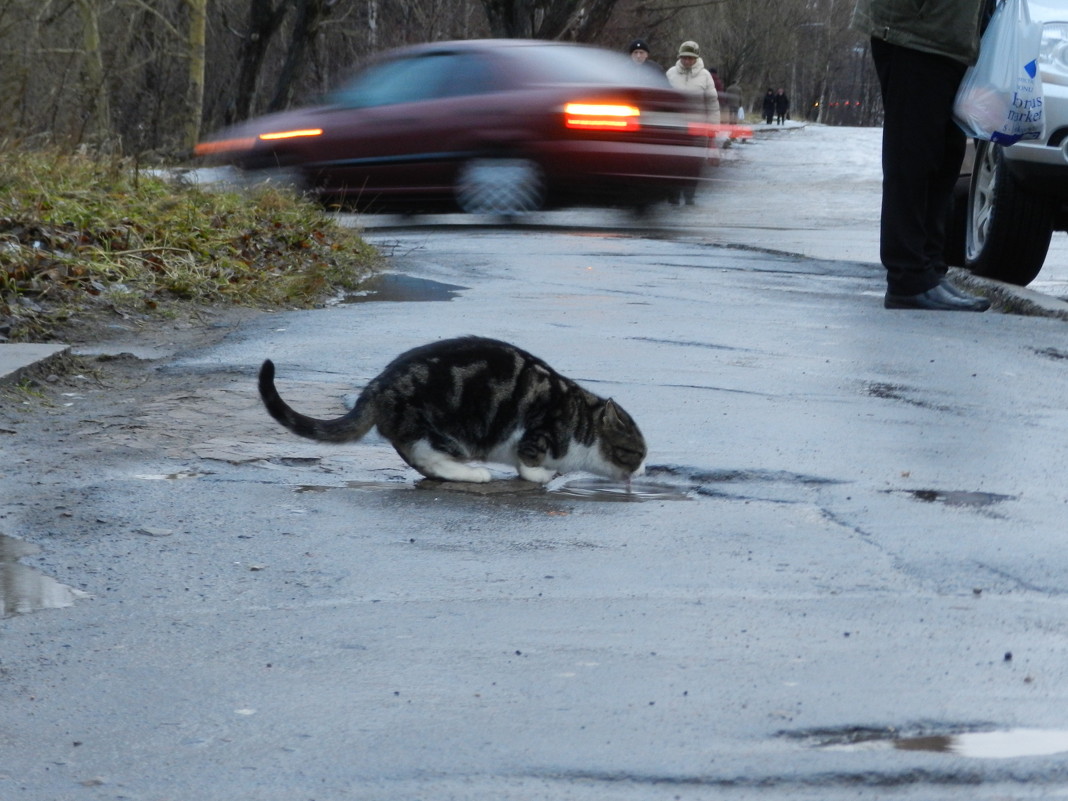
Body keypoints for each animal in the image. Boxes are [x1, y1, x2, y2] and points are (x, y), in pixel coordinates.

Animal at [258, 337, 645, 482]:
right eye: (638, 454)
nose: (644, 470)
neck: (583, 425)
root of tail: (378, 385)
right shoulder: (537, 432)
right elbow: (528, 460)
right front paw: (540, 475)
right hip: (441, 428)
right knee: (426, 456)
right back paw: (472, 473)